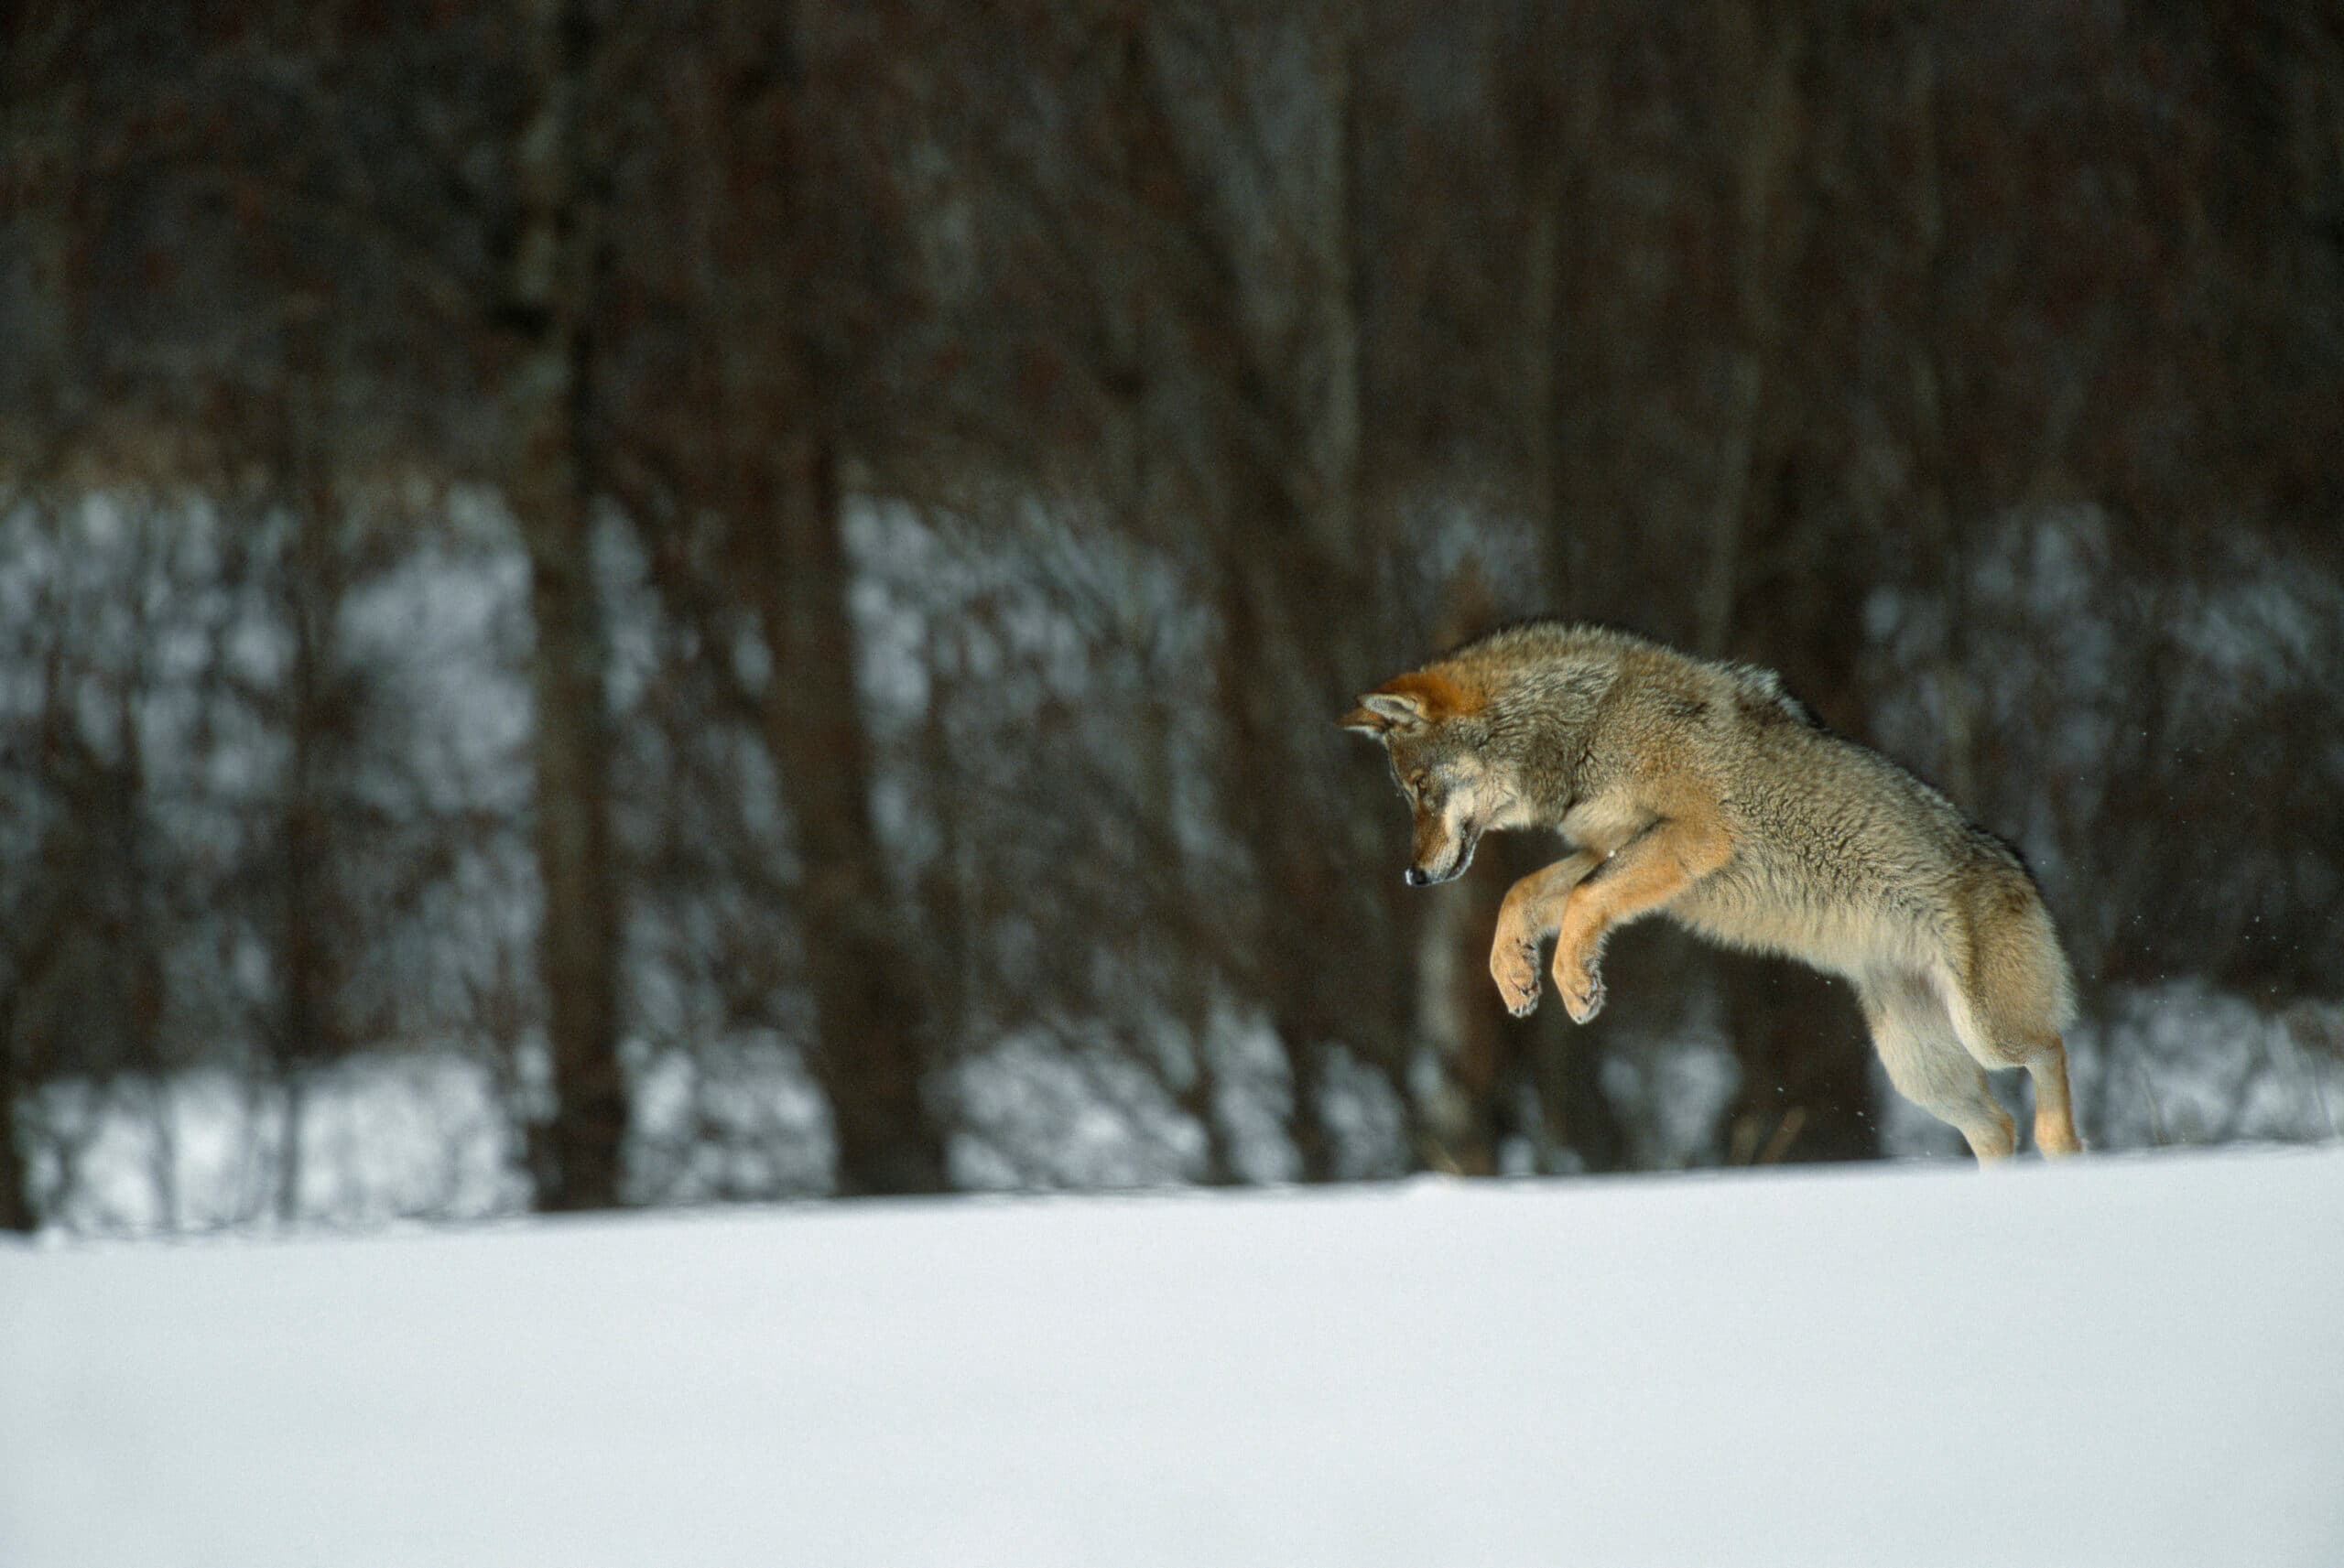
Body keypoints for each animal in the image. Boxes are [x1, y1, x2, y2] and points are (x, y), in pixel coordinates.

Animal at [1350, 618, 2081, 1157]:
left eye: (1419, 790)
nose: (1414, 875)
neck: (1588, 721)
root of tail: (2021, 866)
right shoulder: (1604, 847)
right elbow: (1522, 895)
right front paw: (1515, 975)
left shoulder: (1694, 835)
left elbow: (1582, 900)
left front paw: (1575, 984)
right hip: (1921, 1073)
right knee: (1997, 1125)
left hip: (1987, 1035)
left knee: (2052, 1052)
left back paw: (2061, 1147)